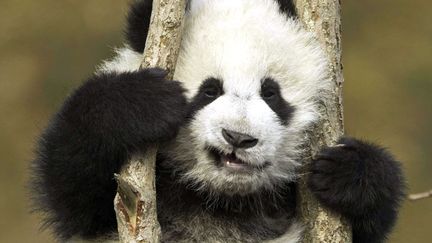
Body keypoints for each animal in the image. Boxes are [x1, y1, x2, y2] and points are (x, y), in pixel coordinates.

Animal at [30, 0, 404, 243]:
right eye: (209, 90)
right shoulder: (109, 207)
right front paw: (140, 104)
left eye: (271, 93)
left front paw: (348, 172)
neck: (220, 197)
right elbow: (69, 186)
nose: (238, 137)